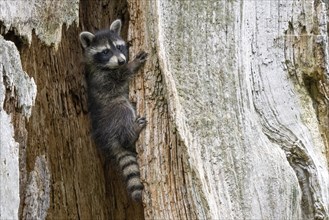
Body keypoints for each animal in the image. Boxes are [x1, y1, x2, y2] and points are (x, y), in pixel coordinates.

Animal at [79, 19, 147, 202]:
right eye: (105, 51)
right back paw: (132, 132)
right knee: (122, 108)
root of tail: (108, 136)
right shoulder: (101, 79)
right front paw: (132, 65)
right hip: (113, 111)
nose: (122, 61)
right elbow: (119, 77)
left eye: (119, 47)